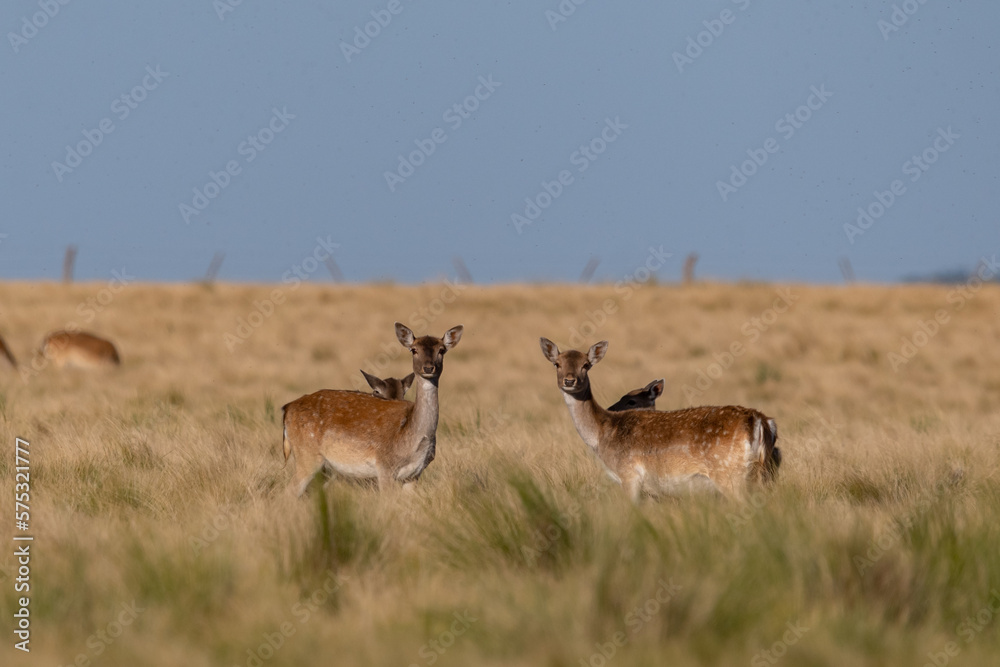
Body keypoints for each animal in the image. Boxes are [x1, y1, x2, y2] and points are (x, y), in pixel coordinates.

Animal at [281, 323, 463, 496]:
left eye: (442, 350)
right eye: (414, 349)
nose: (428, 368)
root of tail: (287, 408)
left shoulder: (414, 475)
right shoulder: (384, 467)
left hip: (325, 468)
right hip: (307, 455)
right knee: (288, 493)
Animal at [539, 338, 780, 503]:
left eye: (586, 365)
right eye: (557, 364)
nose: (569, 381)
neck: (601, 435)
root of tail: (761, 422)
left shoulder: (629, 475)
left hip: (730, 474)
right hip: (764, 474)